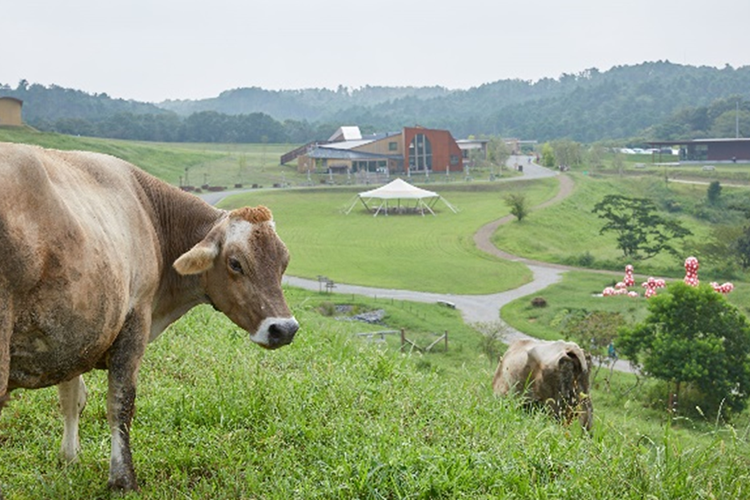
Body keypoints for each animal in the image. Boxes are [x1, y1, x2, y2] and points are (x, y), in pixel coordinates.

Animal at [0, 142, 300, 492]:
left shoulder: (76, 334)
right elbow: (120, 404)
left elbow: (72, 398)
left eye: (283, 262)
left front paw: (70, 459)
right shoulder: (133, 321)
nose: (284, 328)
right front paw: (122, 478)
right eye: (235, 263)